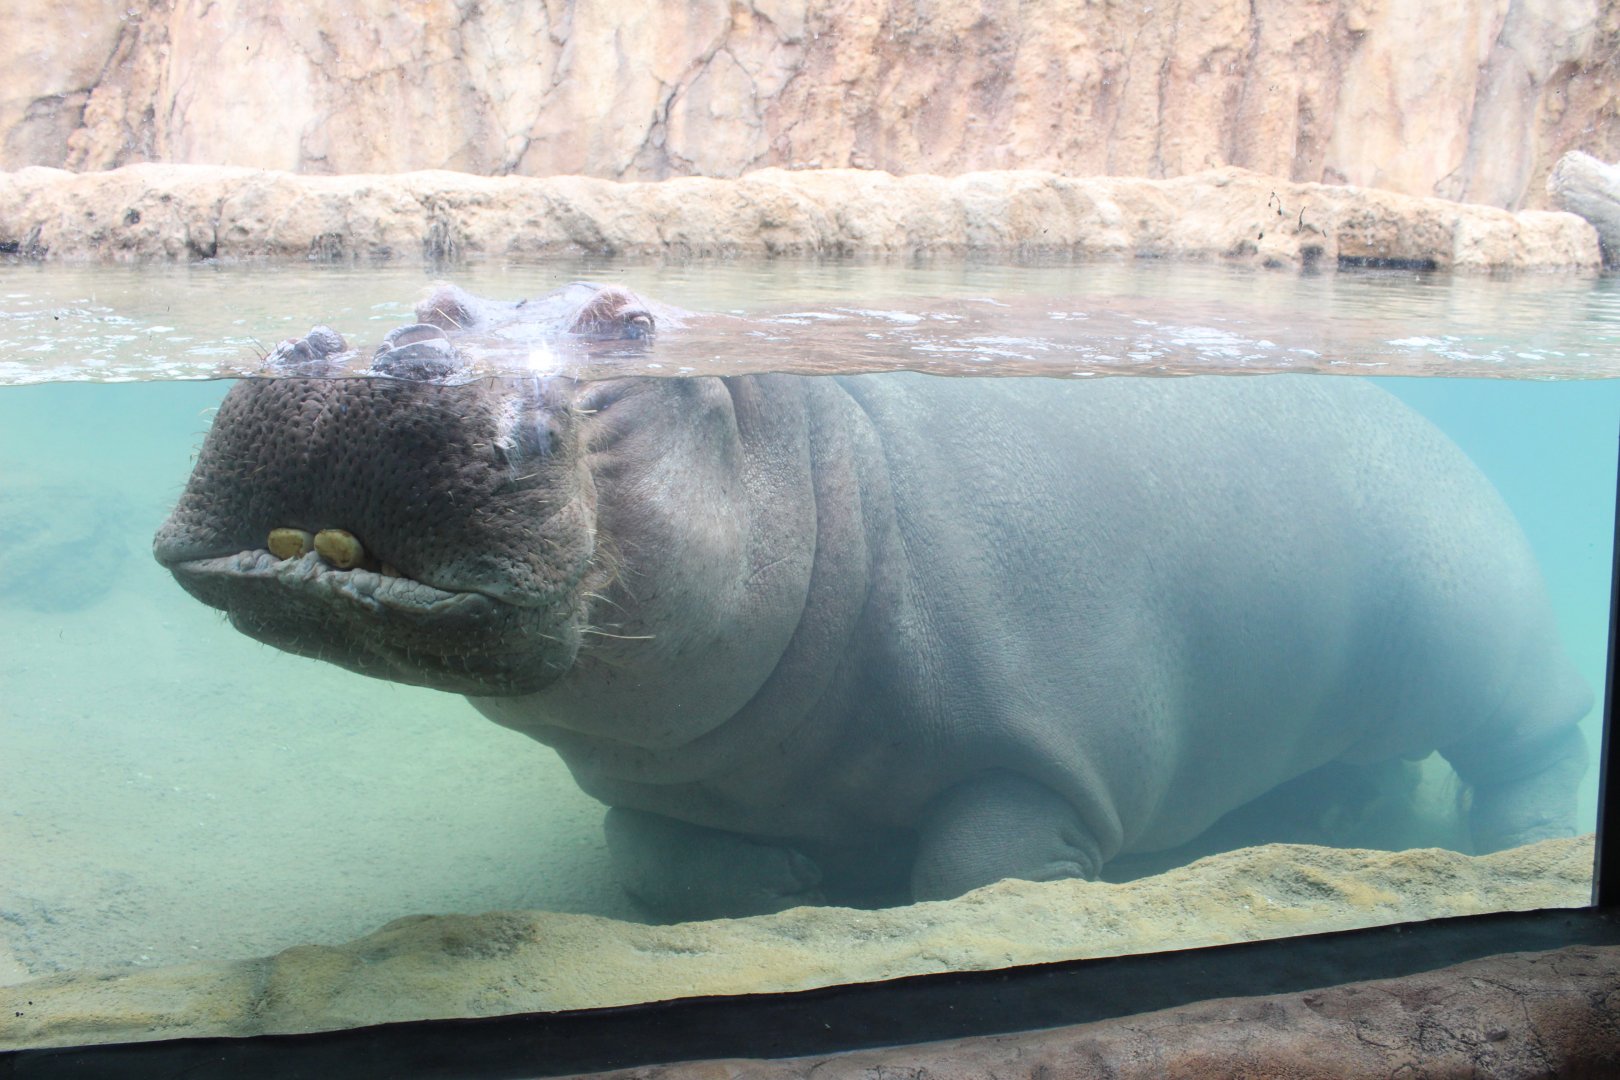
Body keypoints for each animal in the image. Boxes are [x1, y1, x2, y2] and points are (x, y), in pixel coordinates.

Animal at [153, 283, 1592, 920]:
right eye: (444, 292)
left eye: (627, 322)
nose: (378, 345)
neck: (820, 453)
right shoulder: (656, 773)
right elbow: (644, 853)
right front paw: (787, 875)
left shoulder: (1050, 748)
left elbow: (972, 862)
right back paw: (1346, 812)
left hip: (1486, 637)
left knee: (1528, 747)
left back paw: (1519, 848)